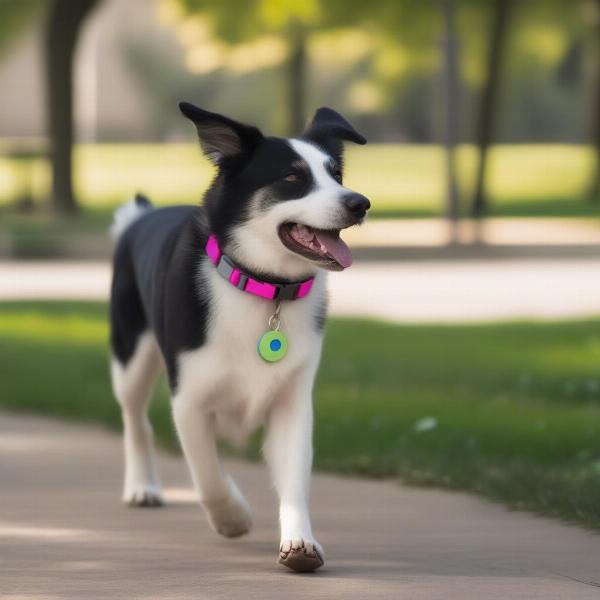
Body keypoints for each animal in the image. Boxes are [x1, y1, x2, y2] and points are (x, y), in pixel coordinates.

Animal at [109, 104, 368, 572]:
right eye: (292, 177)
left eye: (337, 174)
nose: (360, 203)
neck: (263, 287)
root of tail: (140, 217)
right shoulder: (189, 399)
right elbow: (207, 473)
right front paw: (232, 517)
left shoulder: (292, 401)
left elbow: (294, 476)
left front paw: (300, 541)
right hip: (130, 353)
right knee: (136, 420)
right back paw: (142, 486)